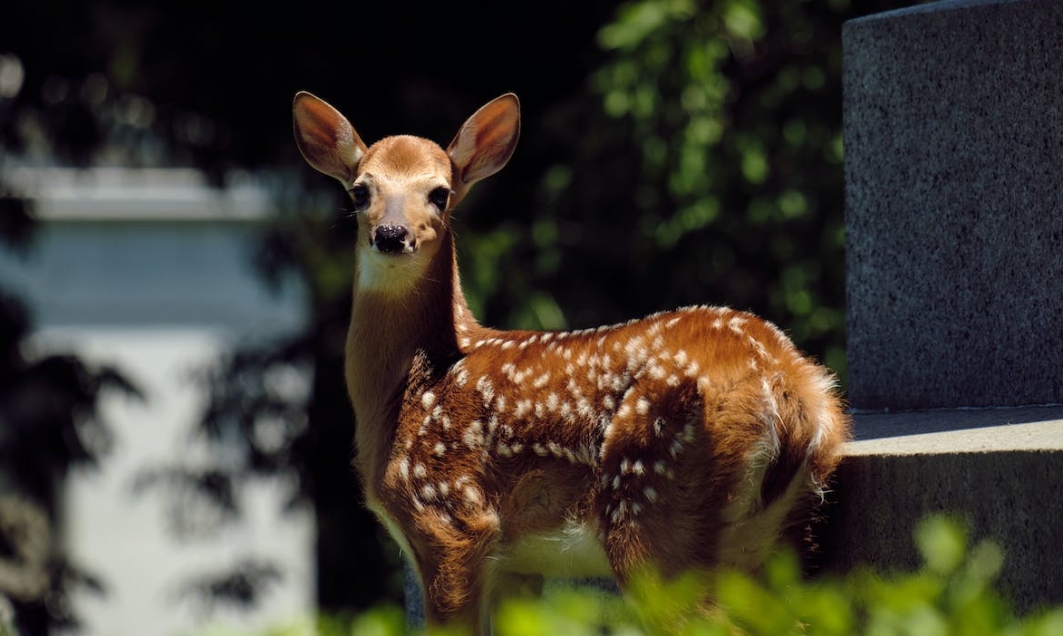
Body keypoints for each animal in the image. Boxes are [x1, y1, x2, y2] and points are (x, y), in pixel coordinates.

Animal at [293, 90, 854, 636]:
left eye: (440, 192)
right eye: (360, 191)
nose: (391, 234)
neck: (408, 390)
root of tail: (792, 389)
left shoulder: (449, 520)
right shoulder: (519, 562)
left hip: (652, 509)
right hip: (773, 535)